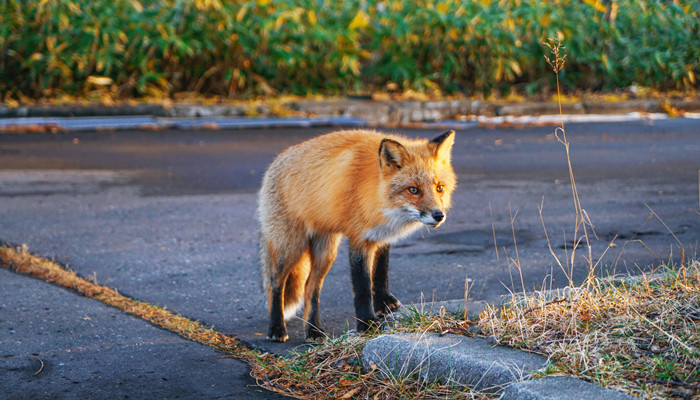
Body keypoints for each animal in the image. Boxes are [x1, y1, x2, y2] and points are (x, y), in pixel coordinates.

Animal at [256, 128, 454, 340]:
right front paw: (367, 323)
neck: (378, 196)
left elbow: (380, 271)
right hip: (290, 248)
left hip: (325, 252)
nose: (438, 216)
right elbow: (363, 287)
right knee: (275, 284)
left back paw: (313, 330)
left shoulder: (381, 235)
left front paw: (383, 302)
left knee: (310, 288)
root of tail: (276, 161)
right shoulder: (359, 239)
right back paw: (277, 328)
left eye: (439, 188)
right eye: (414, 190)